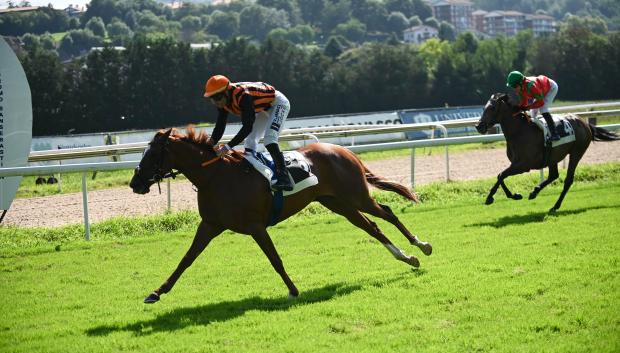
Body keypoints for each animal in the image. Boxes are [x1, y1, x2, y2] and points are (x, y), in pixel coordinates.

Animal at [131, 126, 432, 302]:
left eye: (152, 154)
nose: (135, 183)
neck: (216, 176)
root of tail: (342, 149)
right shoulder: (210, 224)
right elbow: (186, 260)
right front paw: (156, 292)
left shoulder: (256, 226)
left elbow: (275, 260)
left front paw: (293, 290)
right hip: (338, 203)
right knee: (372, 227)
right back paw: (407, 257)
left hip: (356, 195)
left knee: (387, 213)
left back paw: (421, 245)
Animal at [478, 92, 616, 212]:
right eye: (484, 107)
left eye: (492, 107)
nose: (479, 126)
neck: (519, 132)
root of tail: (584, 122)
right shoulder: (517, 164)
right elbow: (500, 175)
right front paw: (513, 195)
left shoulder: (523, 165)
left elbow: (501, 175)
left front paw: (491, 197)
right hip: (553, 156)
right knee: (553, 175)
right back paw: (535, 192)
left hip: (576, 153)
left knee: (568, 180)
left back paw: (555, 206)